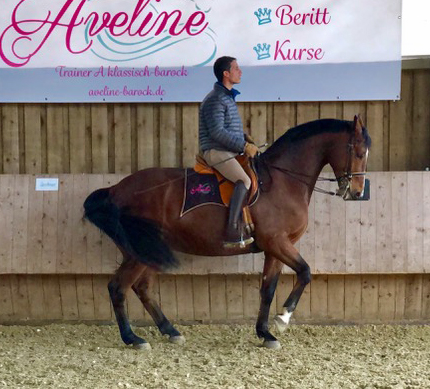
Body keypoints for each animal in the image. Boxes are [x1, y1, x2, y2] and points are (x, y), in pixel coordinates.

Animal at [83, 113, 370, 348]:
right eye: (357, 152)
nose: (356, 192)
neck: (283, 180)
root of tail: (116, 189)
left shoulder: (275, 248)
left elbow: (268, 289)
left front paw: (265, 333)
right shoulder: (277, 242)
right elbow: (305, 272)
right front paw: (283, 317)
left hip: (149, 249)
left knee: (141, 288)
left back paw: (170, 331)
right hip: (137, 251)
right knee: (118, 288)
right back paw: (132, 338)